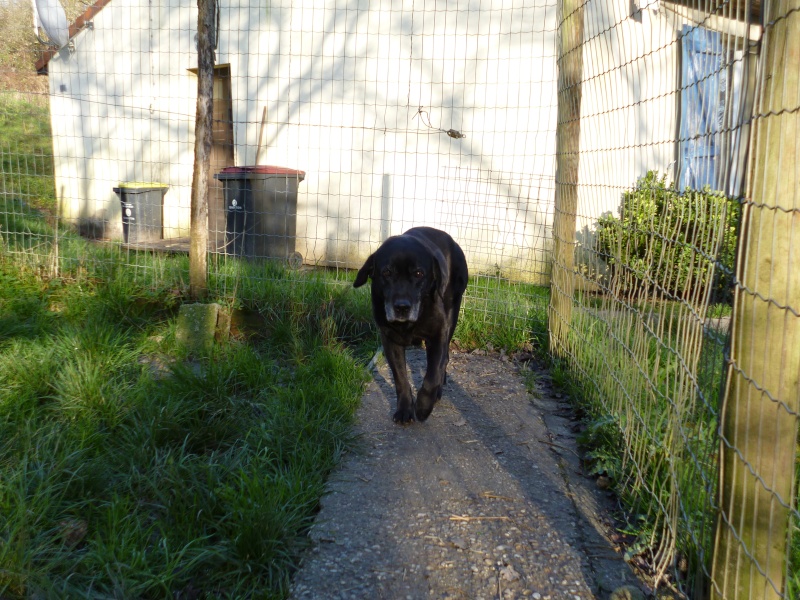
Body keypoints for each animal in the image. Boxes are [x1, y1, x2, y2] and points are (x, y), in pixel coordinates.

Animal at [352, 227, 466, 424]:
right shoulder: (390, 340)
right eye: (387, 272)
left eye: (419, 274)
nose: (402, 307)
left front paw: (423, 407)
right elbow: (400, 378)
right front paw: (405, 409)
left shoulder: (438, 335)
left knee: (444, 360)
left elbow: (432, 376)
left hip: (452, 313)